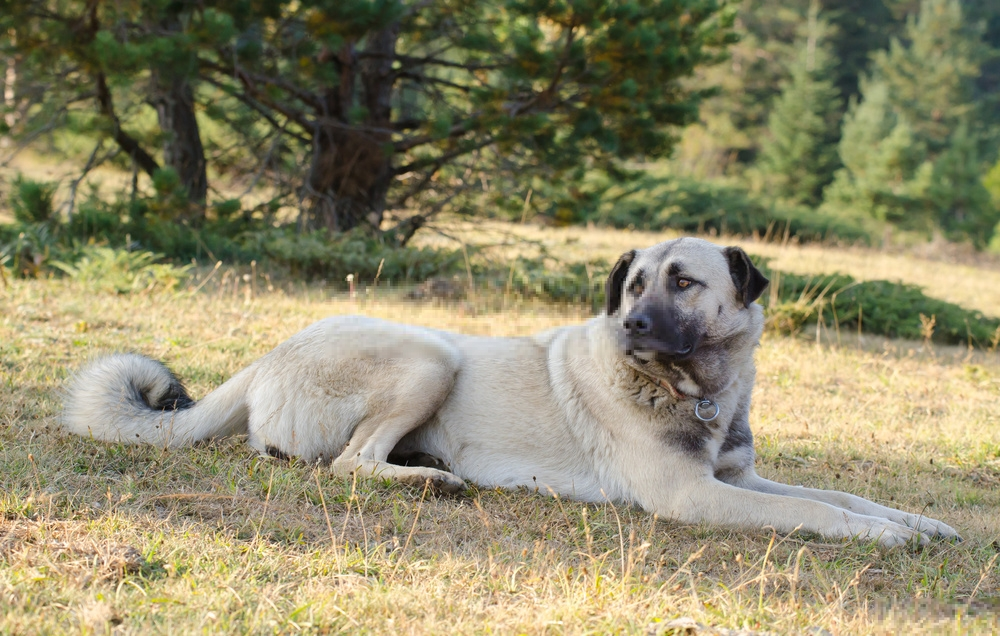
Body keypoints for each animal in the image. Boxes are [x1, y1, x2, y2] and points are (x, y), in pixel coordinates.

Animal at [62, 238, 960, 548]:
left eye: (683, 282)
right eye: (634, 284)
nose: (632, 324)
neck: (696, 388)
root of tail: (266, 356)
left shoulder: (736, 476)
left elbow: (840, 494)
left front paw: (919, 522)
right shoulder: (694, 496)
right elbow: (816, 511)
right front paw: (887, 537)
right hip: (428, 355)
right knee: (349, 463)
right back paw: (432, 482)